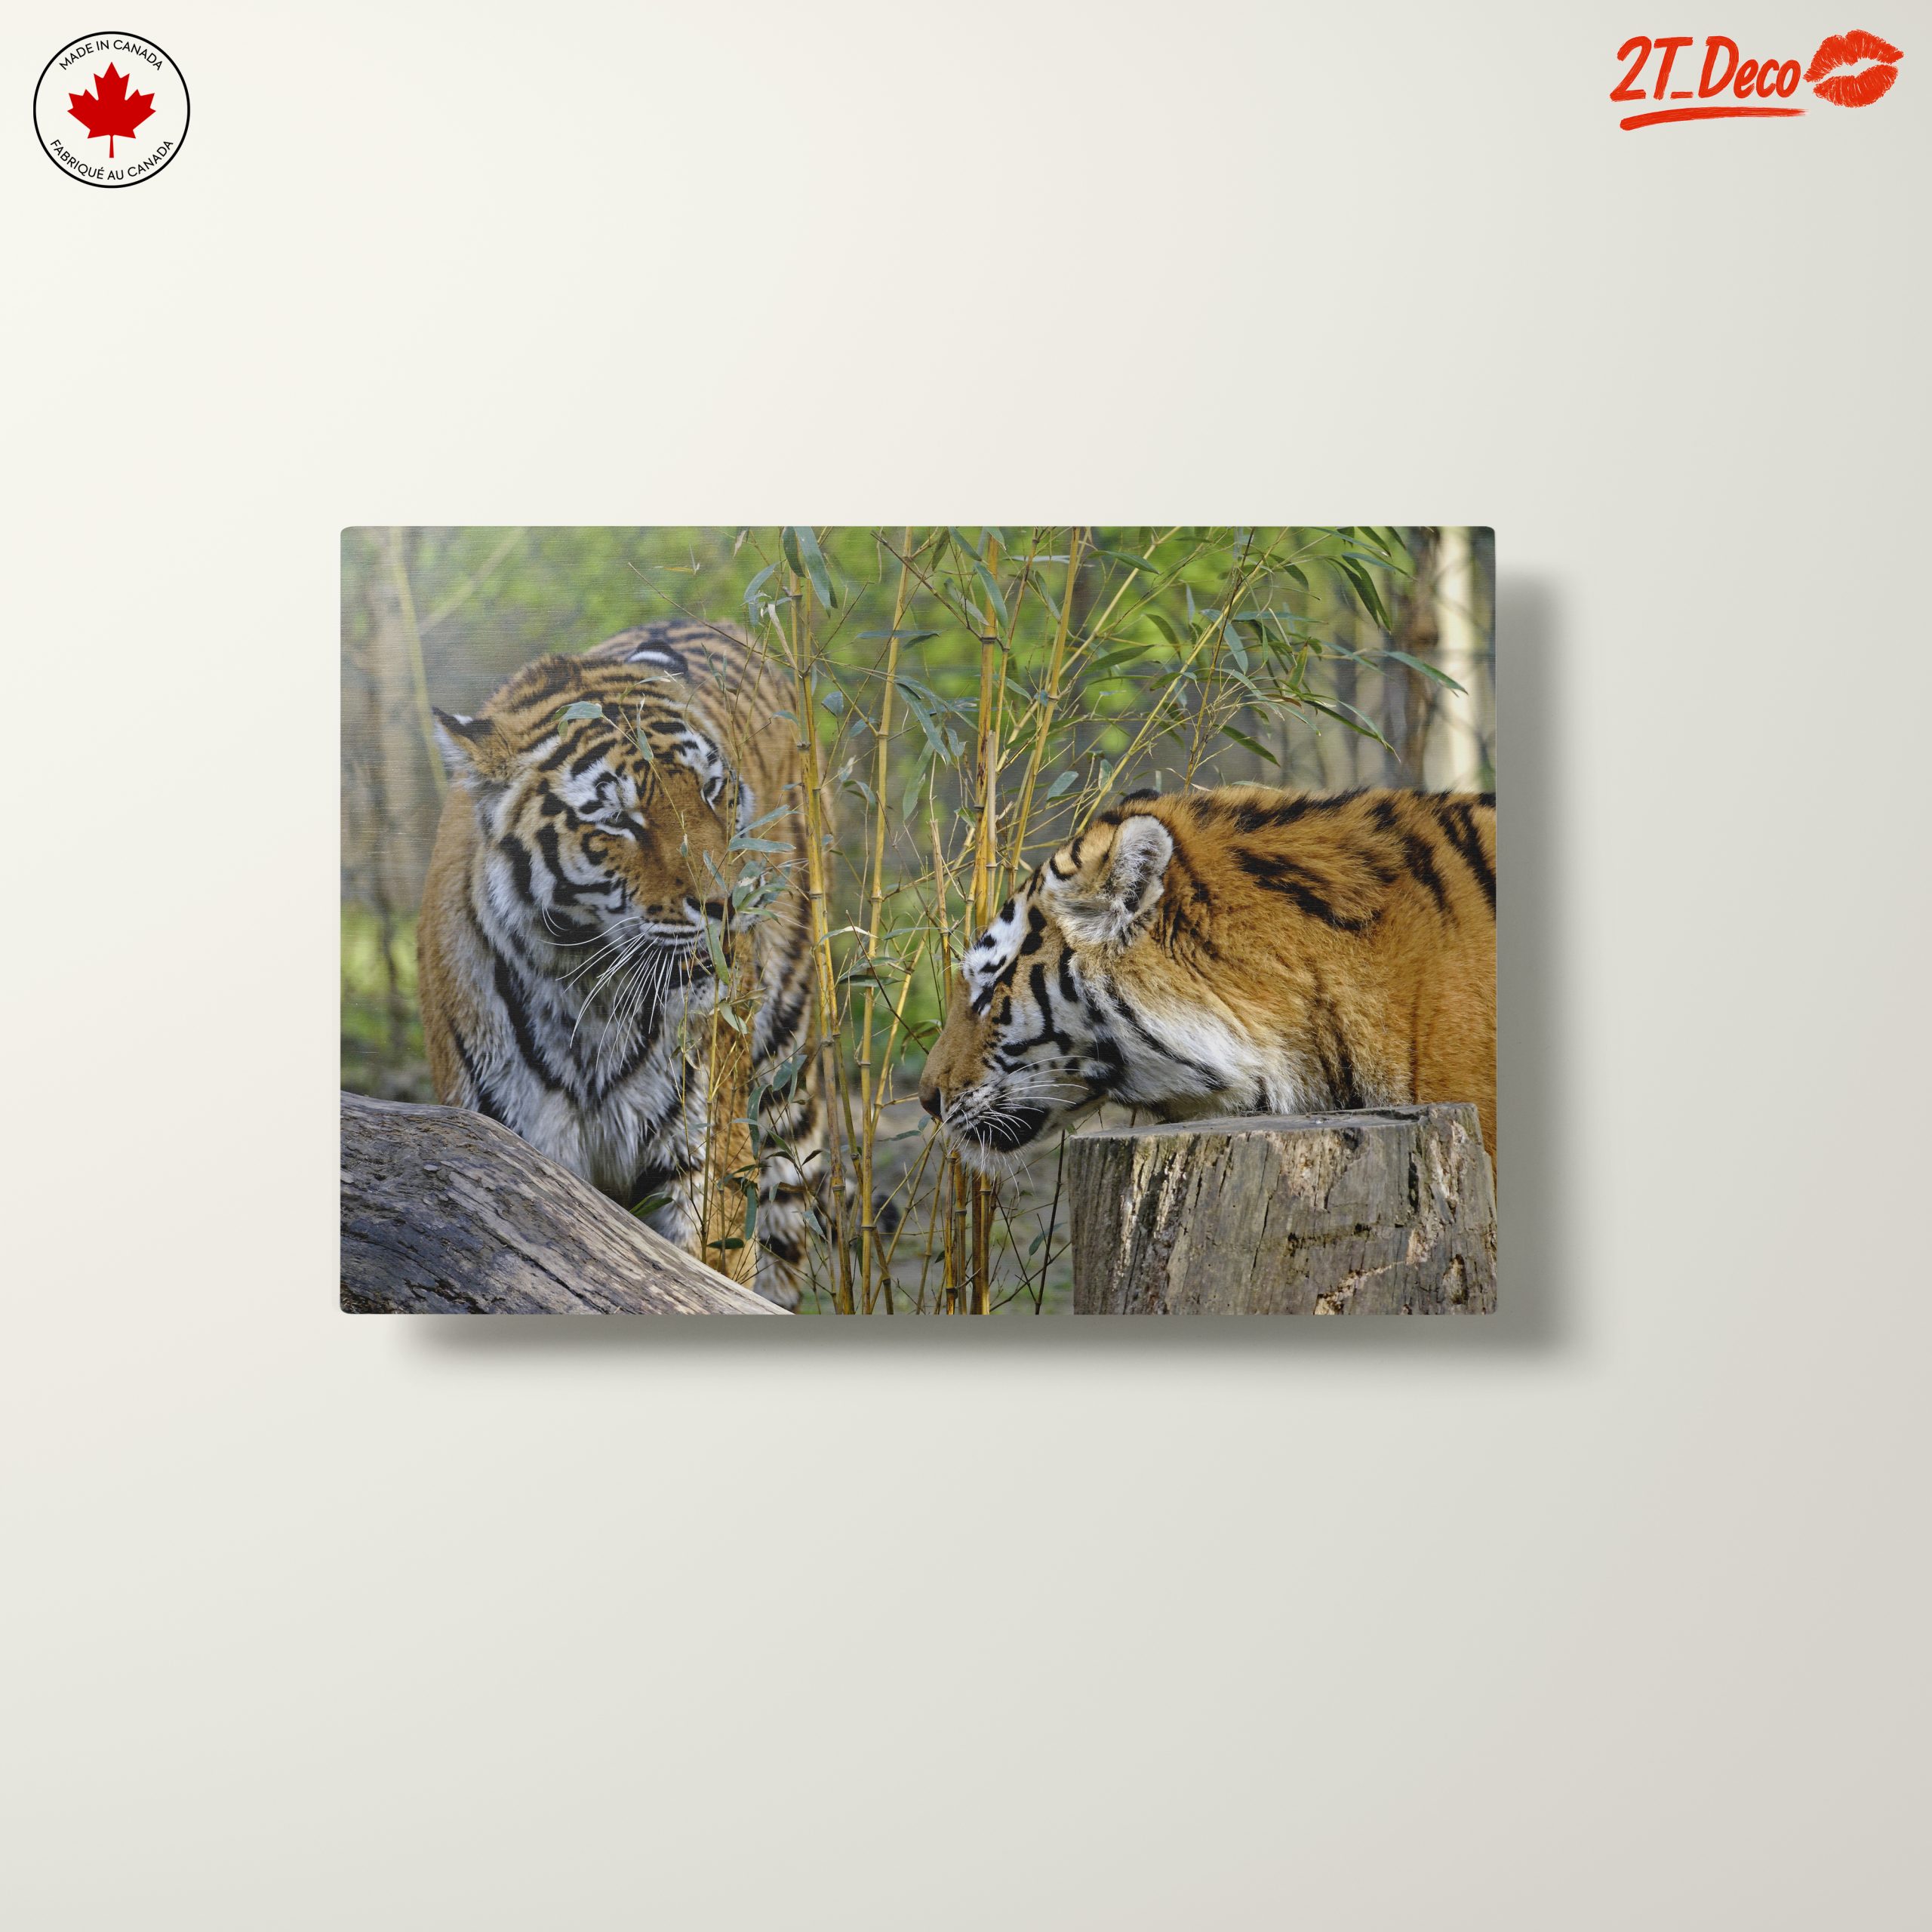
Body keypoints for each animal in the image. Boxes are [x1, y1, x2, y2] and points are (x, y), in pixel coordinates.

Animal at [417, 618, 826, 1309]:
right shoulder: (514, 1153)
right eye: (618, 819)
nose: (727, 905)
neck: (586, 992)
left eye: (711, 789)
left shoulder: (703, 1159)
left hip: (784, 1084)